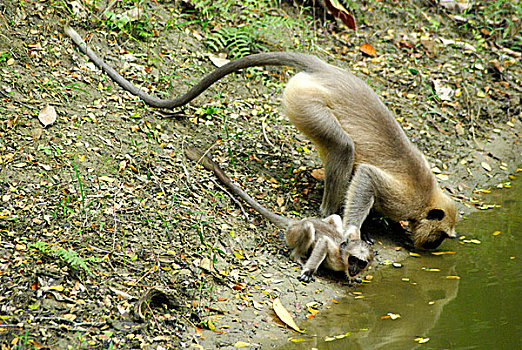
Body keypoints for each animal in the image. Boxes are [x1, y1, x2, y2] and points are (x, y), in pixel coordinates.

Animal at [65, 25, 456, 249]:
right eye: (439, 235)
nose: (431, 248)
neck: (424, 199)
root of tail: (325, 70)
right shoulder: (403, 197)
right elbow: (368, 179)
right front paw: (353, 232)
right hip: (304, 101)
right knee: (343, 147)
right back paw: (328, 212)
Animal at [185, 148, 372, 282]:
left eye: (362, 263)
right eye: (353, 260)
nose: (355, 270)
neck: (343, 256)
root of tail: (296, 221)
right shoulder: (335, 254)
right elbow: (324, 243)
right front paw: (308, 271)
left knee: (335, 217)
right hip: (294, 232)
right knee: (308, 228)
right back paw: (298, 256)